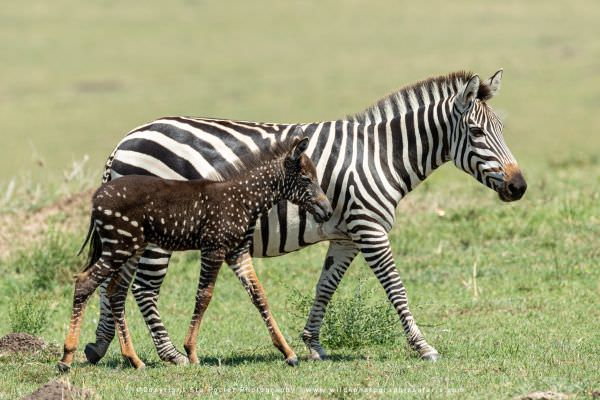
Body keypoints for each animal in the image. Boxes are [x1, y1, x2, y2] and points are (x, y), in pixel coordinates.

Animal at [57, 135, 332, 372]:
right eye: (306, 179)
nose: (328, 211)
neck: (244, 199)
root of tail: (96, 197)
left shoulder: (238, 252)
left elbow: (259, 295)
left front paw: (288, 352)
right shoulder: (214, 248)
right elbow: (204, 296)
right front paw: (190, 352)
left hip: (130, 249)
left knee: (115, 292)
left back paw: (133, 359)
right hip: (119, 246)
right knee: (85, 282)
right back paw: (67, 357)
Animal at [83, 69, 524, 366]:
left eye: (502, 128)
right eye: (477, 132)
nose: (519, 187)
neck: (380, 154)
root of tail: (125, 140)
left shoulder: (346, 235)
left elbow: (325, 286)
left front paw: (312, 343)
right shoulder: (369, 227)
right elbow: (396, 288)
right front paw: (423, 347)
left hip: (132, 232)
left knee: (113, 284)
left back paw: (99, 347)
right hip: (154, 235)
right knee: (143, 290)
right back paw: (170, 354)